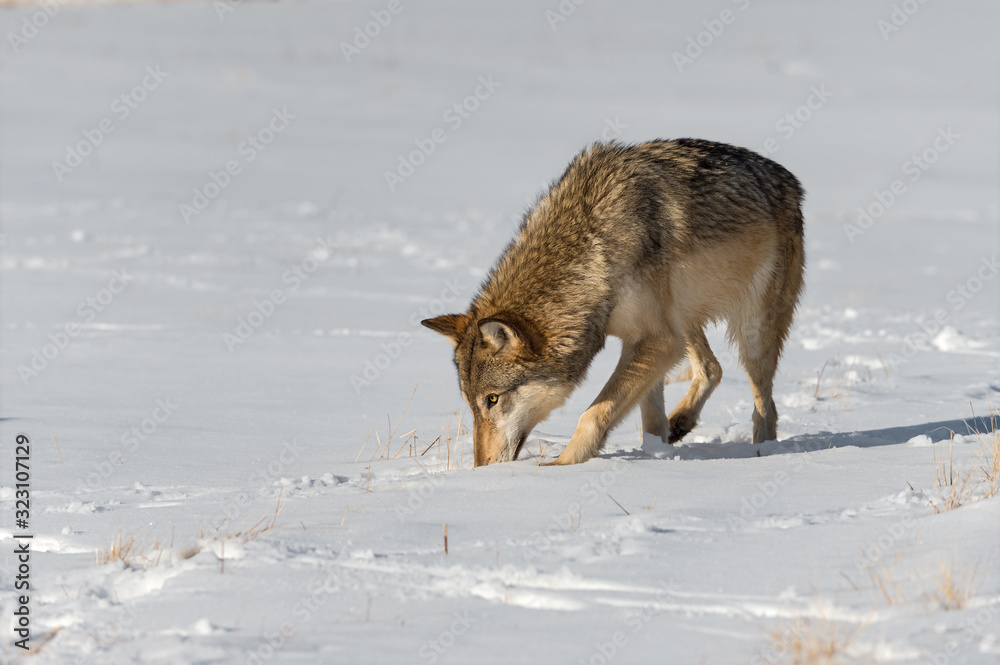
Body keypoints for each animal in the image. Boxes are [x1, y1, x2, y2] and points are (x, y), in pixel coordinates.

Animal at [422, 139, 805, 466]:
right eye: (472, 404)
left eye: (493, 399)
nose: (481, 467)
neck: (592, 248)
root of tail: (790, 179)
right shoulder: (651, 340)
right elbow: (649, 418)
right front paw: (655, 452)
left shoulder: (656, 339)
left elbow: (593, 413)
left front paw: (561, 467)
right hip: (683, 321)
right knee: (713, 368)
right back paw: (681, 422)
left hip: (750, 334)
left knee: (765, 404)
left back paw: (761, 453)